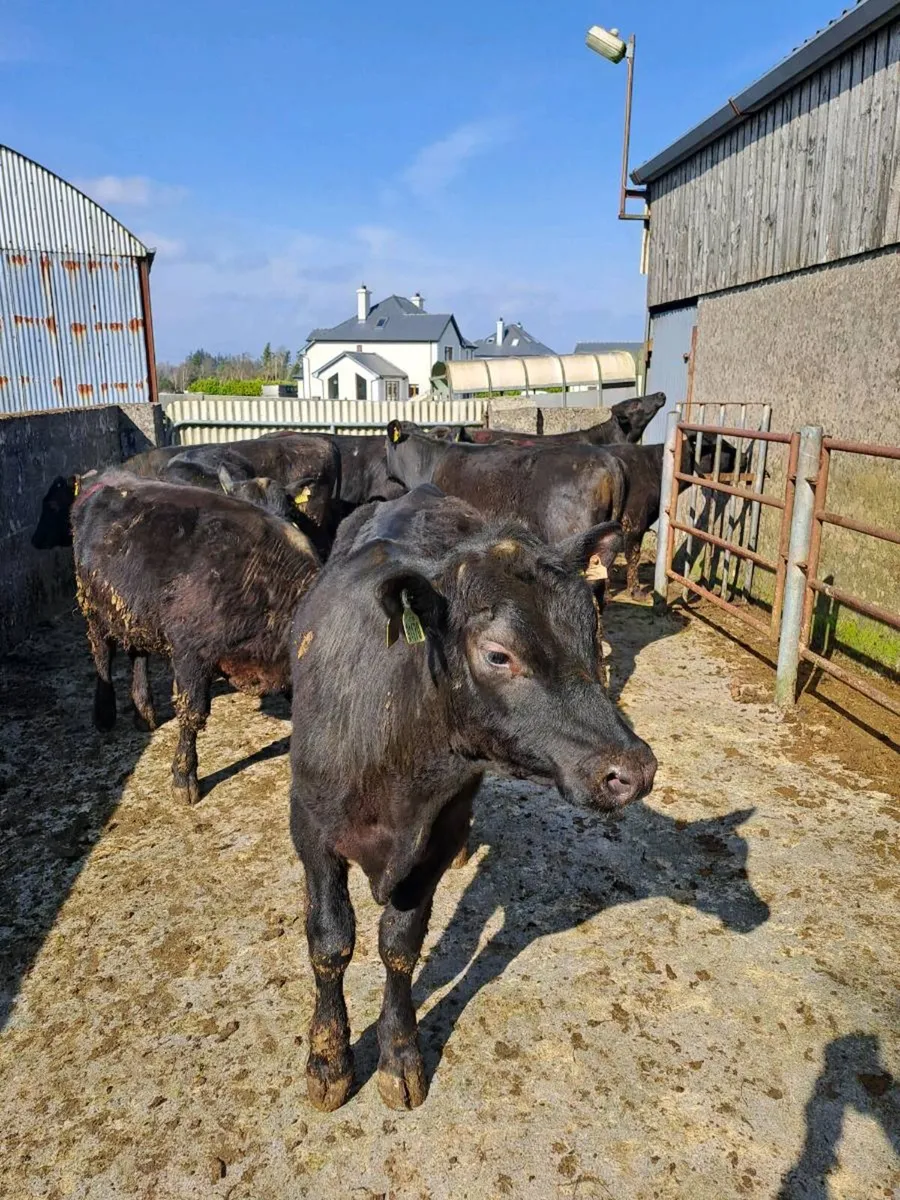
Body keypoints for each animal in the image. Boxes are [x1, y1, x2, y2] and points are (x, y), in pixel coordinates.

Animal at [71, 472, 319, 803]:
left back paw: (144, 713)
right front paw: (184, 778)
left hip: (137, 612)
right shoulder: (191, 655)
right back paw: (104, 715)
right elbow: (192, 714)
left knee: (138, 654)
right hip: (94, 607)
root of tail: (102, 477)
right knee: (102, 652)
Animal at [288, 484, 656, 1111]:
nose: (633, 769)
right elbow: (331, 943)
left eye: (591, 635)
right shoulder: (311, 831)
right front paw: (328, 1060)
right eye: (498, 655)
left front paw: (399, 1056)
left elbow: (400, 945)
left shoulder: (432, 842)